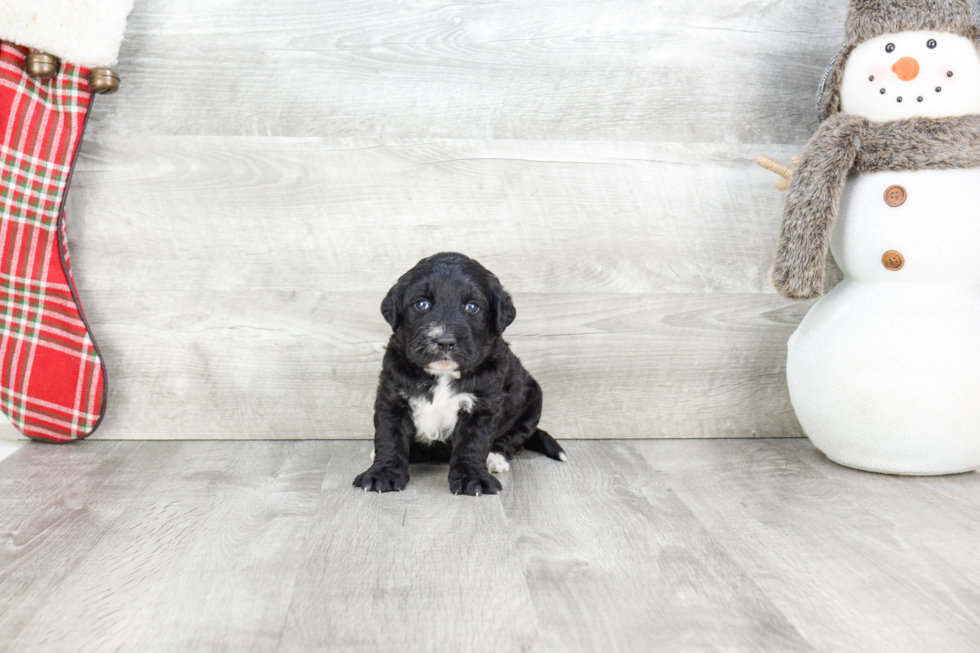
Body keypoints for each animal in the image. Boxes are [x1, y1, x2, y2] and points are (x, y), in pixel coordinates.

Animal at [356, 252, 564, 496]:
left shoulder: (482, 404)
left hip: (531, 400)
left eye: (472, 307)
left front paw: (472, 477)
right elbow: (389, 436)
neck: (441, 375)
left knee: (513, 436)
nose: (445, 341)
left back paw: (496, 456)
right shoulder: (392, 396)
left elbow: (472, 444)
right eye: (422, 304)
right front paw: (383, 472)